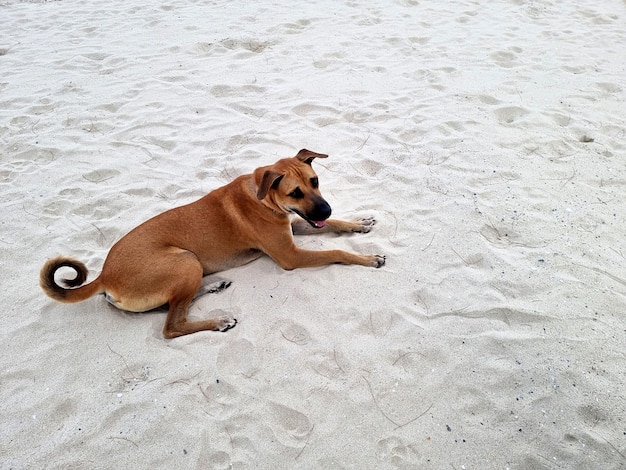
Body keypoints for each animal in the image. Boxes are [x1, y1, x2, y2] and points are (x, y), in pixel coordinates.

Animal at [40, 151, 386, 338]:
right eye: (295, 193)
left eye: (315, 182)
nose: (325, 209)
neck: (263, 197)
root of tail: (104, 276)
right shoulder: (290, 255)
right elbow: (337, 251)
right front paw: (368, 259)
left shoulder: (297, 224)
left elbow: (337, 226)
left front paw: (358, 223)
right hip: (184, 260)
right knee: (171, 327)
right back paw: (219, 320)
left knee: (170, 308)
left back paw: (213, 287)